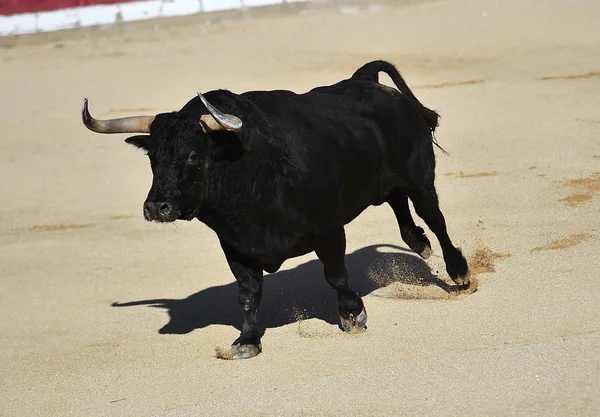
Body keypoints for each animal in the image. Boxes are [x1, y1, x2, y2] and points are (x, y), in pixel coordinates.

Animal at [82, 60, 472, 360]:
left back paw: (459, 271)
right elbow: (248, 294)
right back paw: (420, 245)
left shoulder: (328, 229)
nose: (156, 206)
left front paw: (352, 315)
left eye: (193, 154)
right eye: (152, 157)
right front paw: (247, 341)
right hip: (385, 183)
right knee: (401, 210)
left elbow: (336, 274)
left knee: (434, 219)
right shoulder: (234, 245)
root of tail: (367, 81)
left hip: (420, 178)